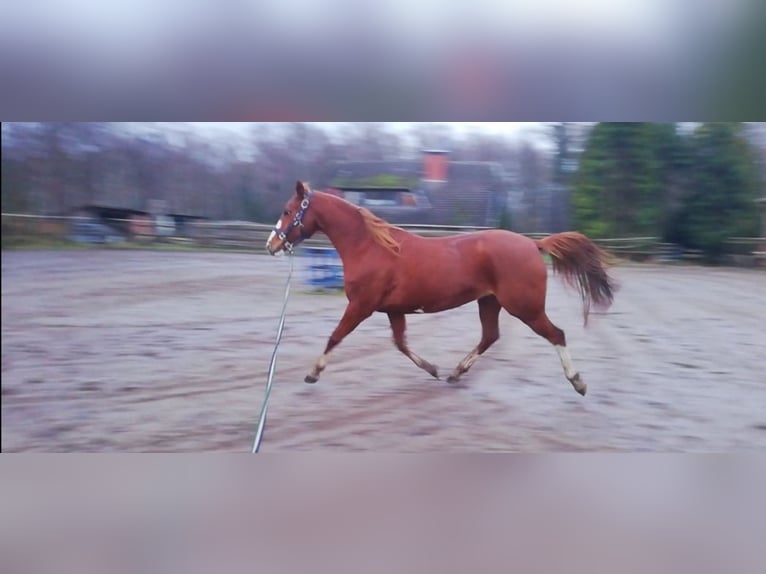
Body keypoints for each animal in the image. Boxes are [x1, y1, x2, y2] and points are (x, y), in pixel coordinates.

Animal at [266, 183, 616, 396]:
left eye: (287, 211)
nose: (271, 245)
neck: (371, 247)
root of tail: (533, 244)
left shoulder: (361, 306)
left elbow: (335, 337)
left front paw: (313, 373)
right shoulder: (393, 310)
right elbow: (401, 344)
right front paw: (433, 369)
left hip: (525, 307)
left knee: (556, 334)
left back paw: (578, 382)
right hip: (489, 302)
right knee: (490, 336)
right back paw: (455, 373)